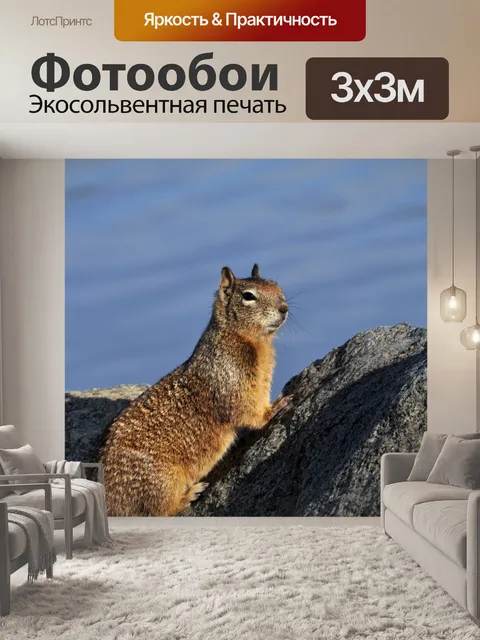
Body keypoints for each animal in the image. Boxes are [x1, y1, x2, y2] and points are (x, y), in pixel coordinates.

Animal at [101, 264, 290, 517]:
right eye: (248, 296)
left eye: (277, 286)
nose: (284, 308)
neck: (251, 341)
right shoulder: (233, 377)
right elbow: (246, 411)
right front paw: (274, 408)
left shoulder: (262, 380)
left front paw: (273, 404)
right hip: (163, 479)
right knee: (160, 510)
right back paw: (190, 494)